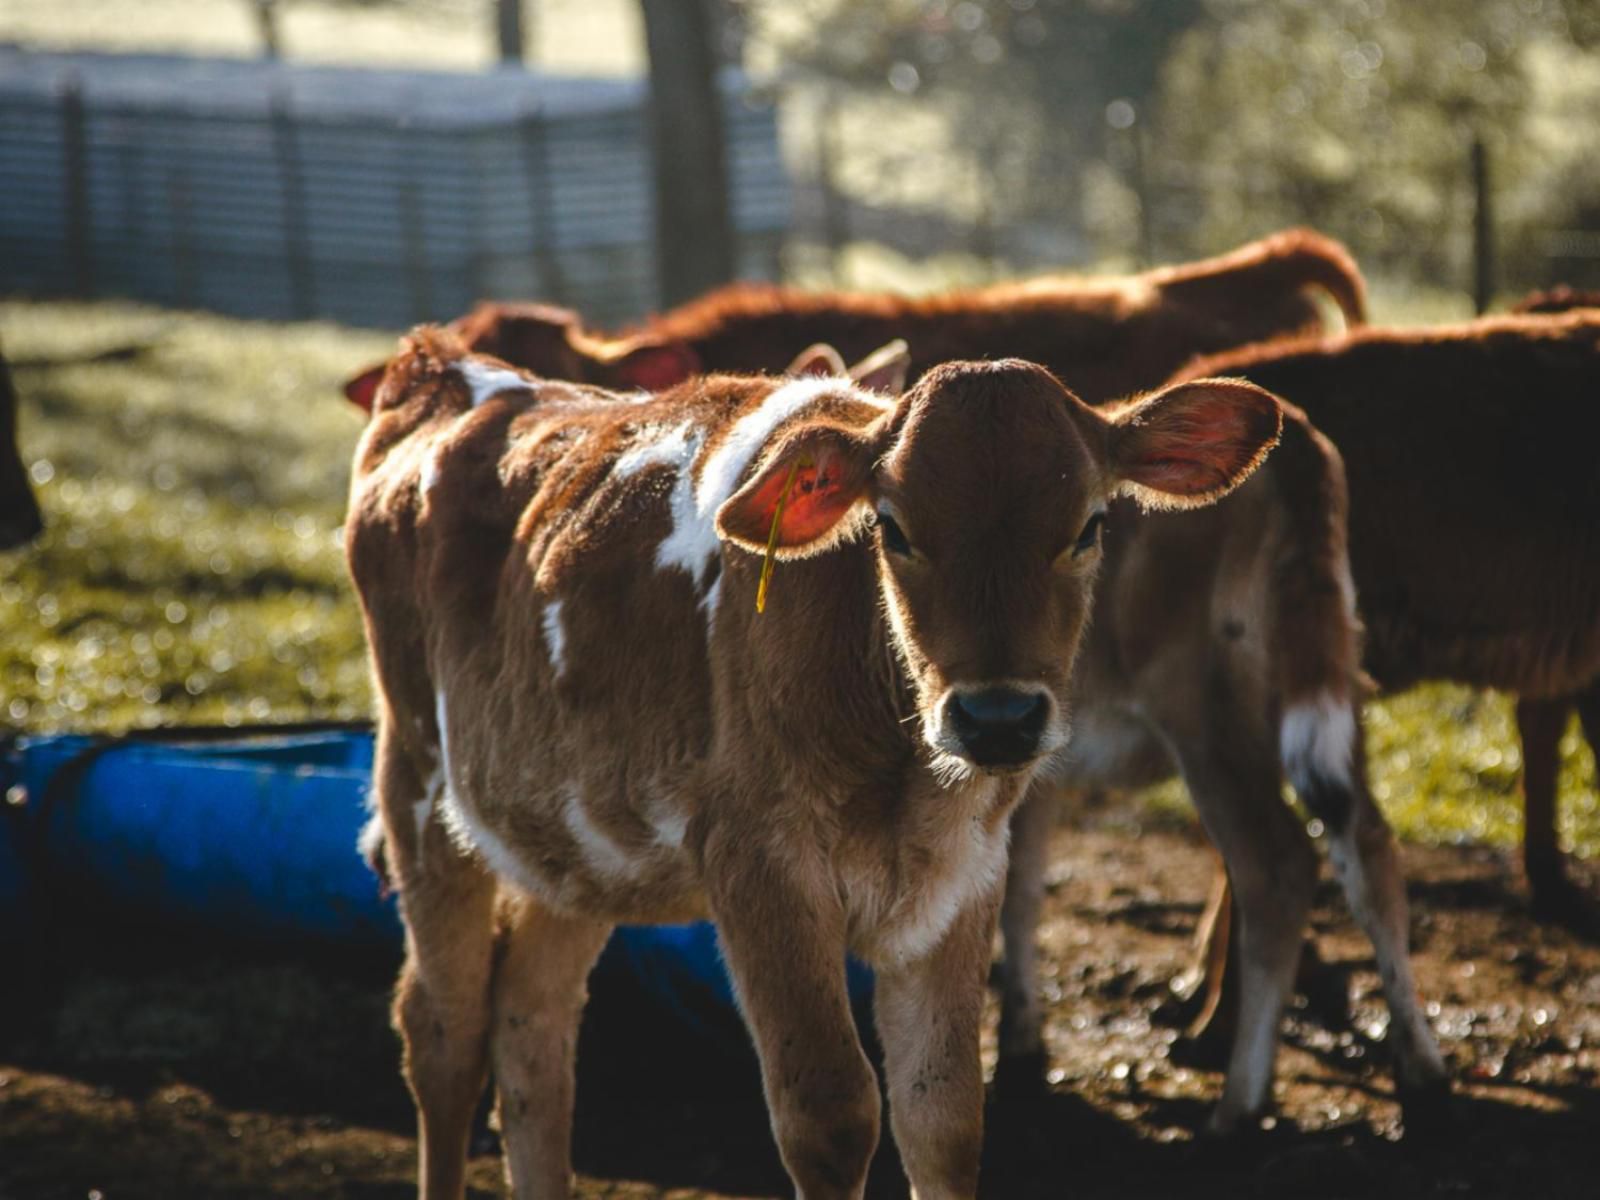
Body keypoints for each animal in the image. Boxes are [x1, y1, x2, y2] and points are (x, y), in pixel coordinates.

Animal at [344, 324, 1280, 1196]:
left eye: (1089, 526)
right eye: (894, 529)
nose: (998, 717)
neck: (902, 775)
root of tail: (444, 368)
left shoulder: (965, 876)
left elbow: (945, 1120)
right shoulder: (758, 865)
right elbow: (831, 1115)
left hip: (573, 848)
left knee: (532, 1036)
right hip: (421, 788)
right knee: (442, 1036)